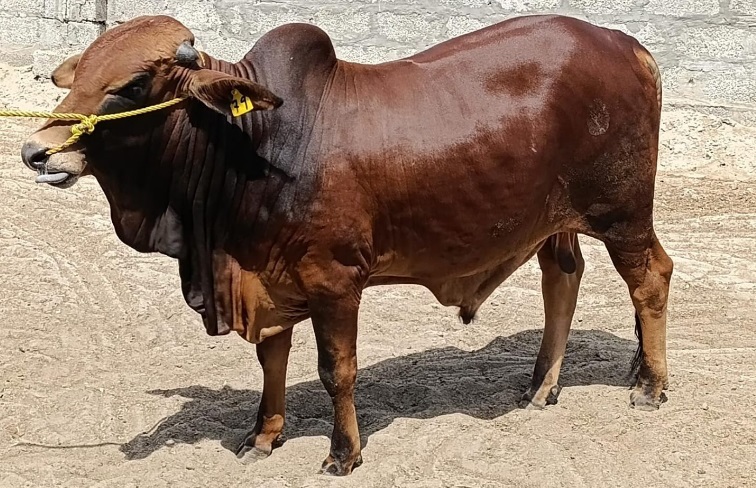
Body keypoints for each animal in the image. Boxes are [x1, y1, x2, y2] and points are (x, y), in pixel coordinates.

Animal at [19, 14, 673, 475]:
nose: (36, 151)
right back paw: (541, 386)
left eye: (133, 84)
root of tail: (626, 44)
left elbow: (337, 371)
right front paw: (263, 436)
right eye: (78, 76)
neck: (253, 141)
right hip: (553, 221)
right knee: (561, 278)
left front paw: (342, 452)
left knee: (651, 280)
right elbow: (272, 359)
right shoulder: (267, 272)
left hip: (623, 214)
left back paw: (649, 385)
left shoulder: (333, 282)